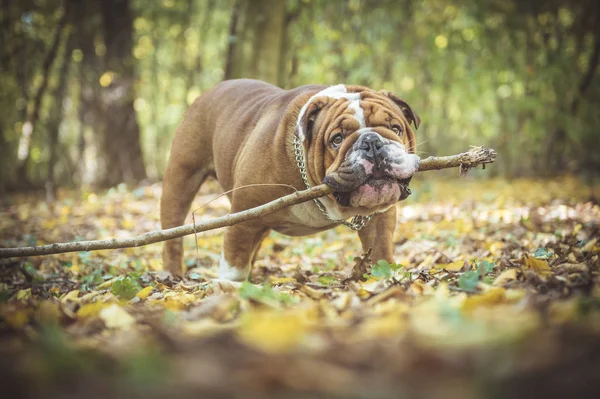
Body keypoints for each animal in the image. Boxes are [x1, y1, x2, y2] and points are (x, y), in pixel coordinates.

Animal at [162, 79, 420, 282]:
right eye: (337, 139)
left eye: (396, 129)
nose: (372, 142)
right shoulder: (244, 220)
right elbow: (234, 264)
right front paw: (231, 289)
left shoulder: (379, 218)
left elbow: (380, 252)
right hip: (181, 178)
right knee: (173, 236)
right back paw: (173, 275)